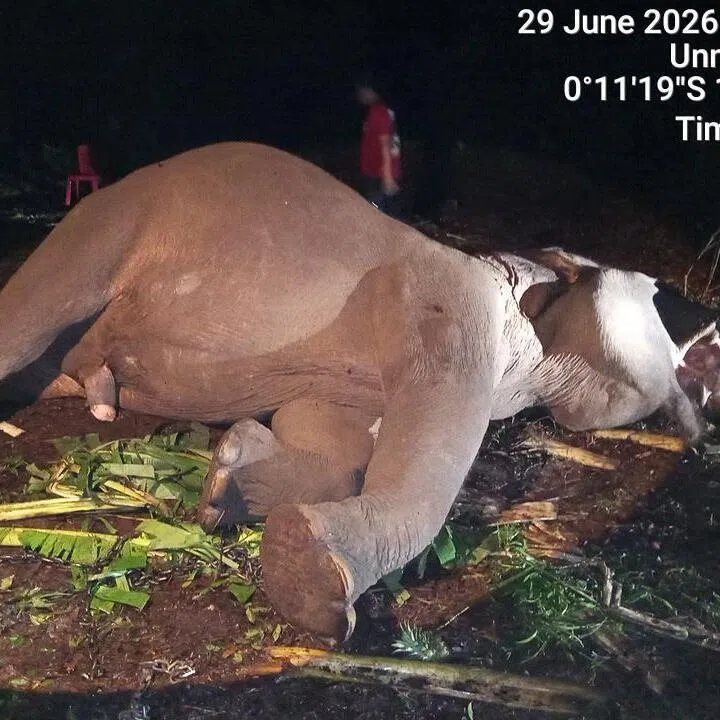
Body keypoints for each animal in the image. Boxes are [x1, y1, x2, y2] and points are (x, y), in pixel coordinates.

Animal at [0, 142, 718, 641]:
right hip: (102, 232)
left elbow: (331, 444)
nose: (700, 403)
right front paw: (315, 581)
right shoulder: (448, 309)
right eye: (659, 296)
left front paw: (229, 482)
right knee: (29, 315)